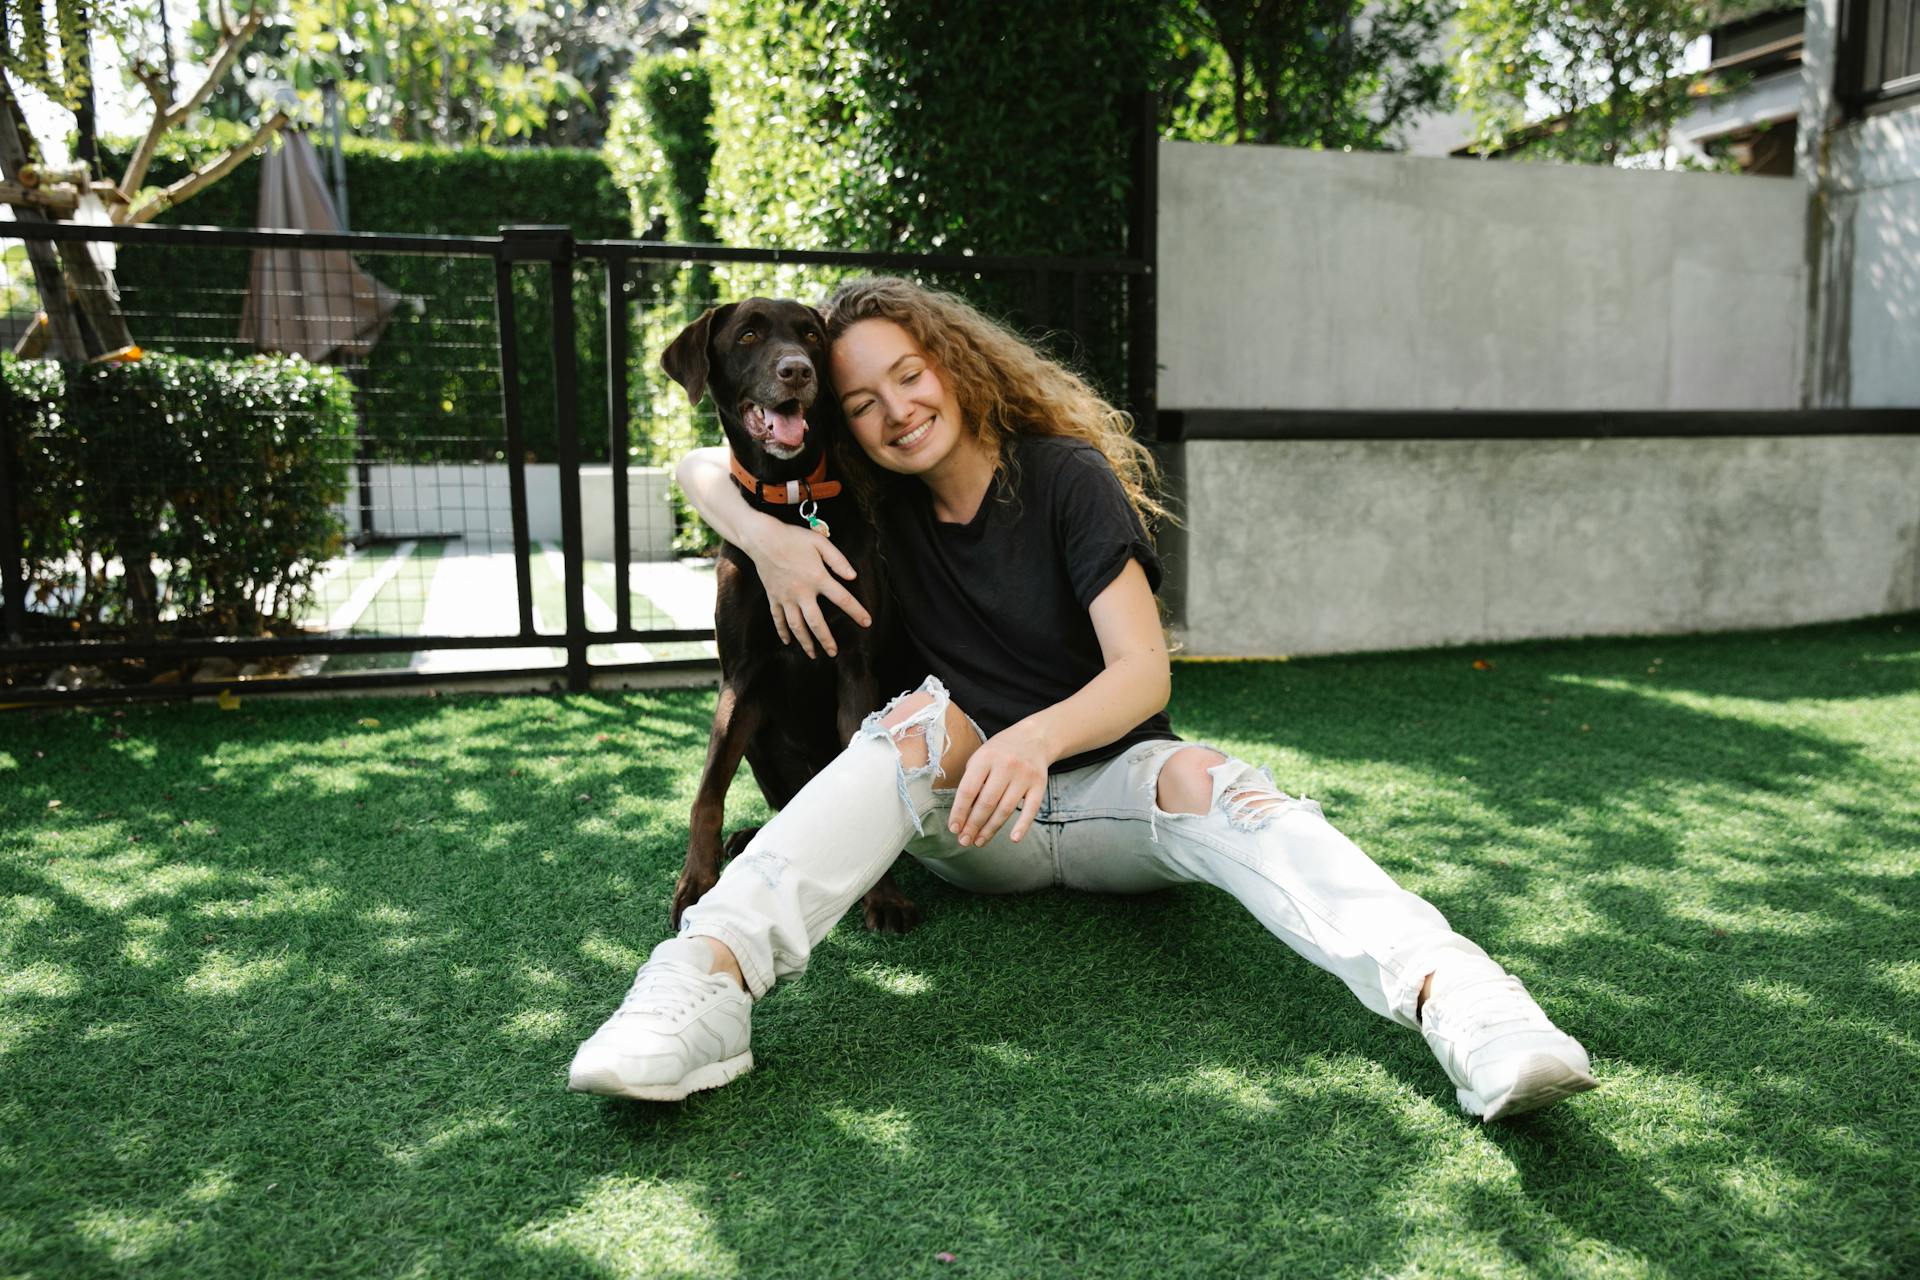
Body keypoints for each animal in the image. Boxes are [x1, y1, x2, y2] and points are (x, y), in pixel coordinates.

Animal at [664, 301, 925, 940]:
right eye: (748, 335)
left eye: (811, 336)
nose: (797, 370)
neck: (790, 504)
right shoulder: (741, 677)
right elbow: (706, 792)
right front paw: (695, 884)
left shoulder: (854, 667)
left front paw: (884, 897)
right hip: (761, 739)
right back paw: (748, 837)